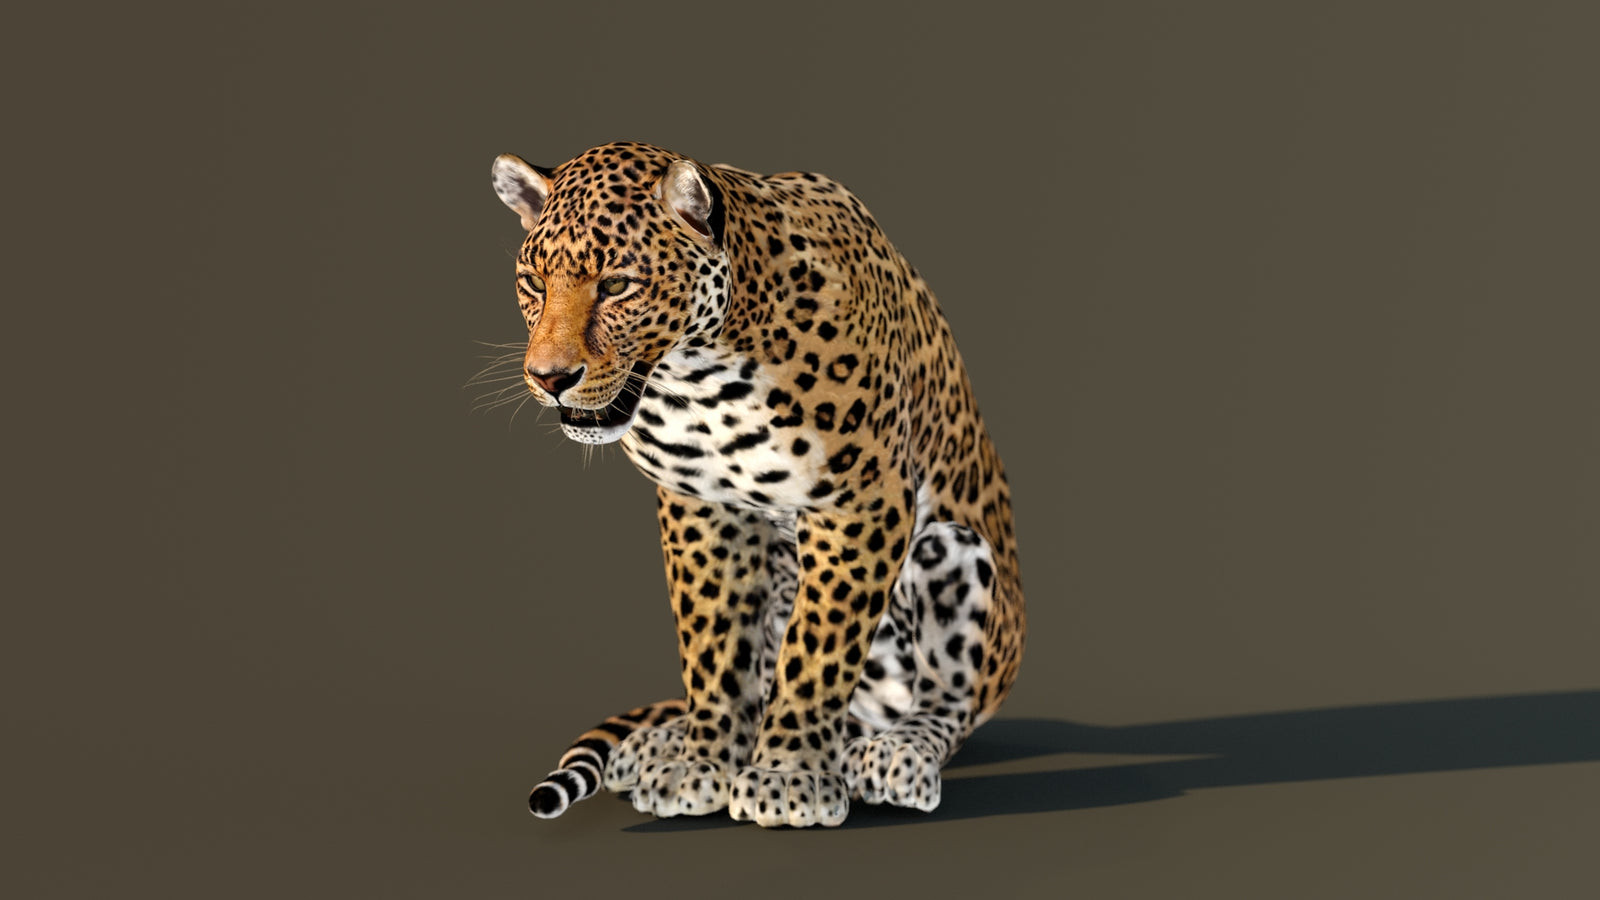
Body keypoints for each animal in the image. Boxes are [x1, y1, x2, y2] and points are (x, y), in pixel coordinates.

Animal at [486, 141, 1025, 828]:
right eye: (534, 282)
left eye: (617, 285)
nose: (549, 377)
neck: (701, 378)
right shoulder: (702, 505)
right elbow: (714, 646)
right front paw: (701, 762)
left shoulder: (862, 502)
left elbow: (818, 647)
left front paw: (786, 775)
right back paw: (655, 744)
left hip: (954, 553)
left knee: (949, 700)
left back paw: (896, 754)